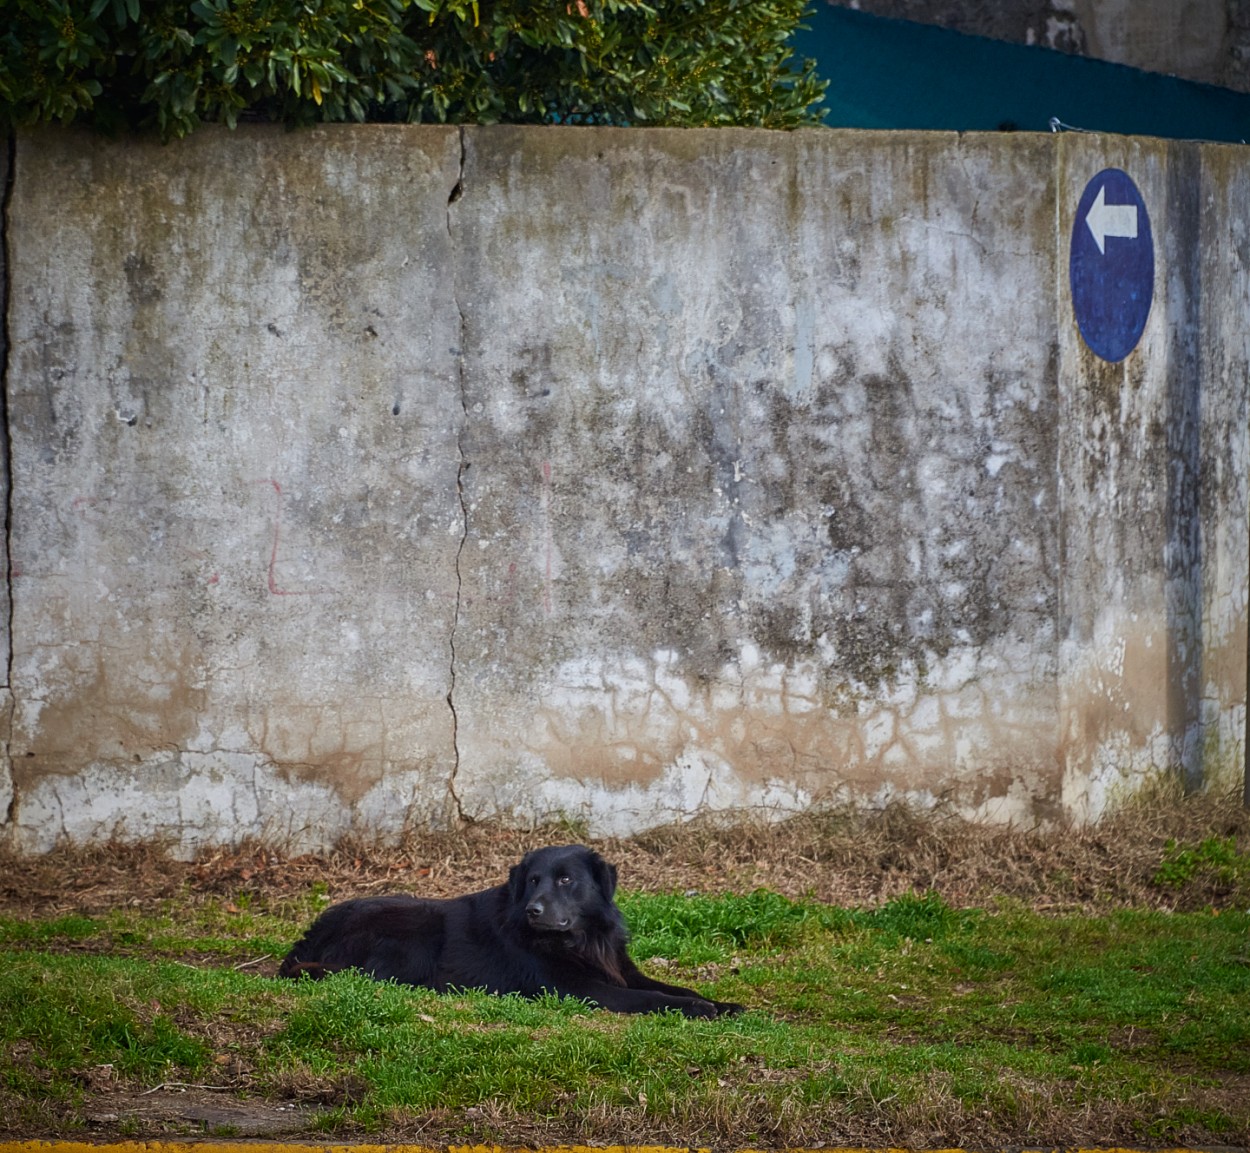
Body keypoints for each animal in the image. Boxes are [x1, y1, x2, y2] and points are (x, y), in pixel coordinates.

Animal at [278, 835, 740, 1015]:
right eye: (533, 880)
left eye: (565, 880)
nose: (534, 910)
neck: (579, 938)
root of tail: (313, 932)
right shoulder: (577, 988)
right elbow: (650, 998)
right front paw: (700, 1010)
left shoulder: (621, 970)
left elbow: (675, 987)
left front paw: (723, 1004)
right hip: (419, 924)